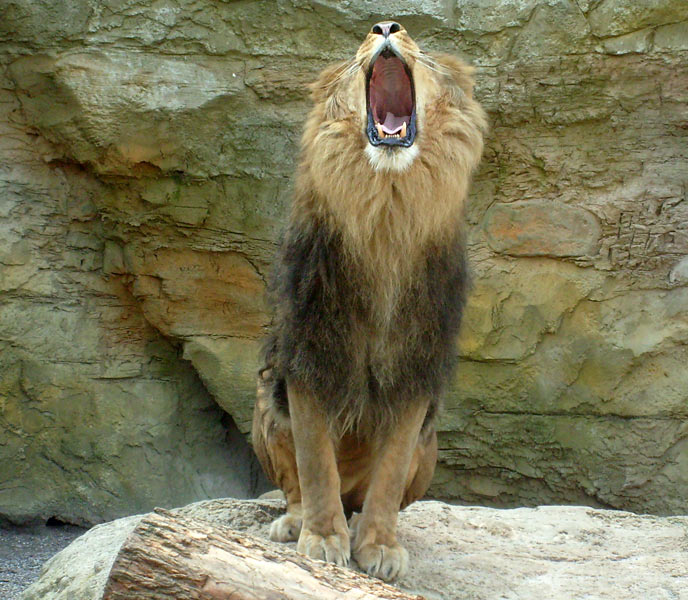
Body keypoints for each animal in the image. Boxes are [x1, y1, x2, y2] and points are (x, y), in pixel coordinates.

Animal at [251, 21, 484, 580]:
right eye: (363, 39)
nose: (385, 26)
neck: (387, 206)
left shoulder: (417, 364)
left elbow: (390, 472)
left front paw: (377, 544)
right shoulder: (309, 352)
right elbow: (315, 463)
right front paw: (321, 537)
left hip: (430, 444)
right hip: (265, 391)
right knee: (298, 486)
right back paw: (296, 522)